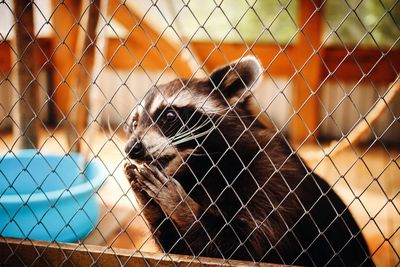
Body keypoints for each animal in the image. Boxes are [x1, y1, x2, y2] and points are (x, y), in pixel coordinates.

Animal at [123, 56, 374, 266]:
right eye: (134, 123)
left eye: (169, 116)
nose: (131, 148)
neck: (202, 166)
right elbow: (184, 250)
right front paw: (148, 203)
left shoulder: (271, 175)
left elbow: (249, 247)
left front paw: (182, 207)